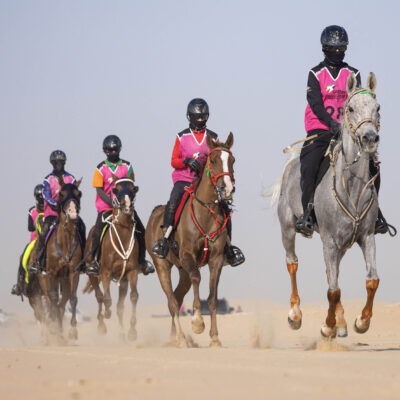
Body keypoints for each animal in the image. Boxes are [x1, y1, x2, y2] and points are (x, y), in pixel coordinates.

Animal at [83, 173, 141, 340]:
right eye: (116, 189)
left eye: (134, 188)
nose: (126, 205)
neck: (122, 235)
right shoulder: (105, 273)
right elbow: (106, 299)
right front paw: (105, 315)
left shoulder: (132, 272)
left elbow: (133, 296)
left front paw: (132, 331)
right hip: (93, 275)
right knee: (99, 296)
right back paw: (101, 325)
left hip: (122, 280)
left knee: (119, 306)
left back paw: (121, 332)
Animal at [146, 133, 235, 347]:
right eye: (213, 160)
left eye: (233, 160)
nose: (227, 189)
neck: (206, 212)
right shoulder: (188, 255)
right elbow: (197, 278)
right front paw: (197, 322)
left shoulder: (216, 260)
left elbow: (212, 298)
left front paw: (215, 338)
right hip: (162, 266)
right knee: (171, 301)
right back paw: (180, 338)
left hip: (181, 270)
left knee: (177, 299)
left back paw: (175, 338)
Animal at [270, 72, 381, 338]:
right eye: (350, 108)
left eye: (378, 108)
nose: (369, 138)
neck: (352, 187)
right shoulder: (329, 241)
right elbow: (333, 290)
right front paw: (327, 326)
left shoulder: (367, 236)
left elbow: (371, 280)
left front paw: (361, 322)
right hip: (288, 228)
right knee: (293, 264)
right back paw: (295, 315)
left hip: (340, 245)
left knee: (333, 273)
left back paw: (340, 322)